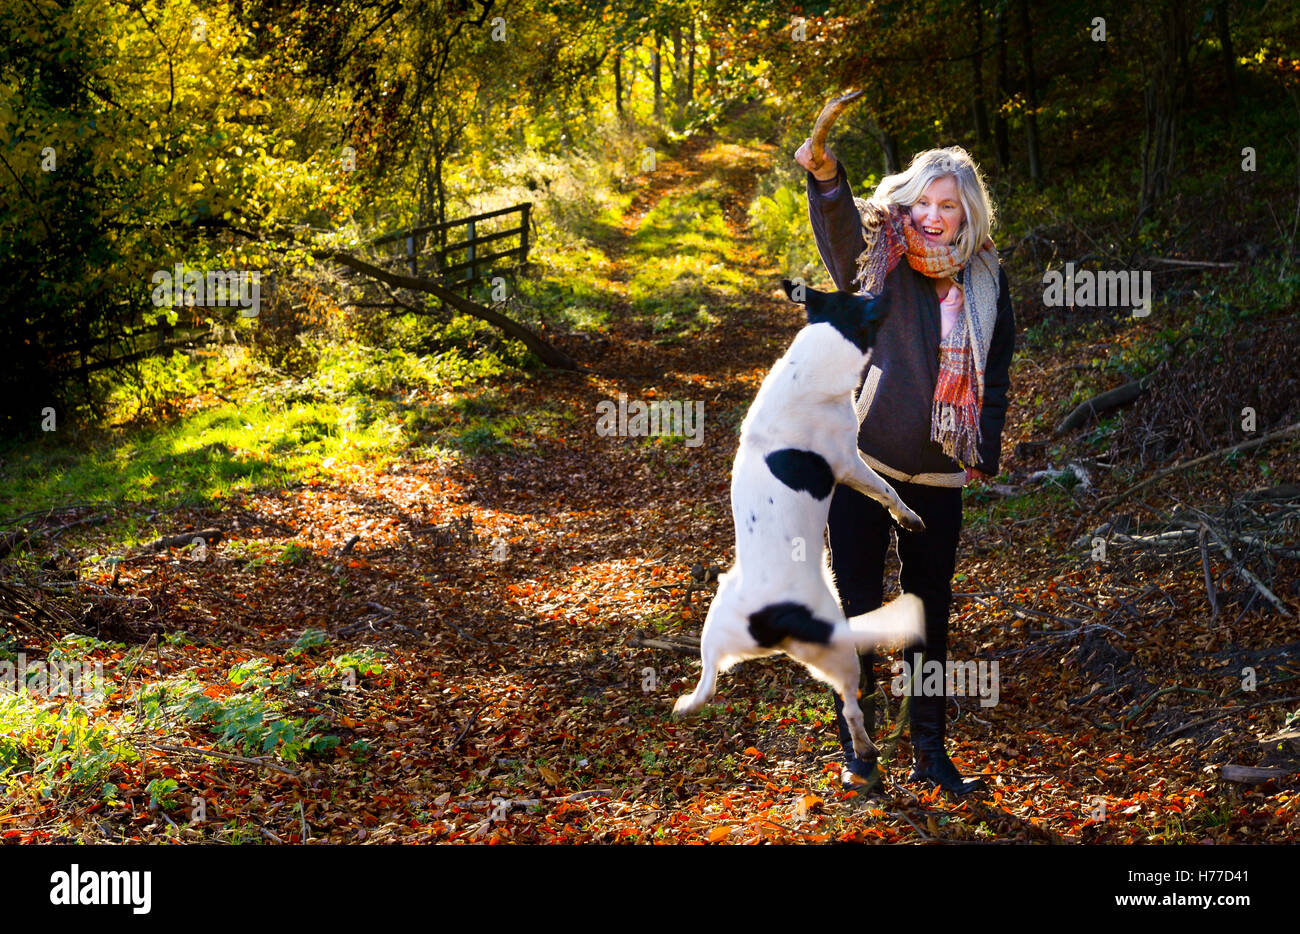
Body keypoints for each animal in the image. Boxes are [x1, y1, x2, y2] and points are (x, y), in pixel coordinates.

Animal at [676, 282, 930, 764]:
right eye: (866, 298)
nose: (887, 285)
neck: (815, 353)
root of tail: (773, 618)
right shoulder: (850, 462)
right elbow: (887, 490)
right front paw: (907, 517)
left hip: (717, 626)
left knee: (708, 679)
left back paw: (686, 704)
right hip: (840, 651)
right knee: (851, 708)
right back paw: (866, 748)